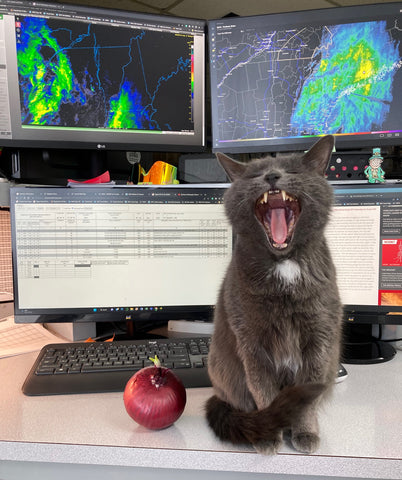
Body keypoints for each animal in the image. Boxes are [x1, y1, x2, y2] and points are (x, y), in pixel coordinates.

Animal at [207, 134, 342, 454]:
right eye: (254, 175)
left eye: (292, 170)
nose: (271, 176)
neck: (284, 265)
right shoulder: (252, 342)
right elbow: (264, 391)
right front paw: (268, 433)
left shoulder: (320, 338)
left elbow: (305, 397)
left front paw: (305, 433)